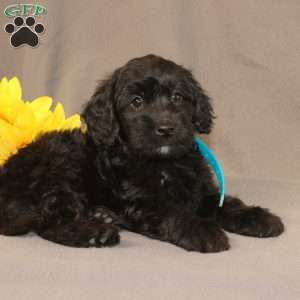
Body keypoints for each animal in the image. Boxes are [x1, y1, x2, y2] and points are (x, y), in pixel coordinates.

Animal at [0, 55, 284, 252]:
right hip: (59, 167)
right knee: (49, 221)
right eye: (136, 102)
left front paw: (257, 217)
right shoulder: (143, 201)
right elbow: (174, 211)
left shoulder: (199, 191)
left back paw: (101, 215)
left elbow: (224, 203)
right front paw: (203, 230)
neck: (164, 164)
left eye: (178, 97)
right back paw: (94, 232)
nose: (166, 128)